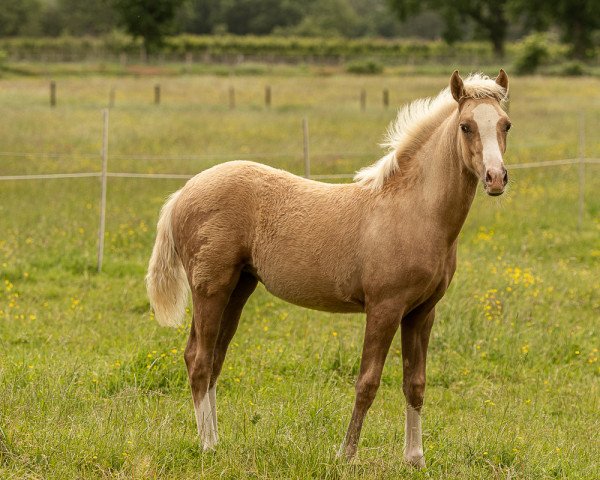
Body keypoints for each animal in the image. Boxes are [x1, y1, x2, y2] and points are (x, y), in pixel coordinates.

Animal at [145, 69, 510, 466]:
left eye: (505, 124)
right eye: (465, 126)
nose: (495, 178)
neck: (413, 210)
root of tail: (183, 193)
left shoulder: (422, 312)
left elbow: (415, 383)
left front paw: (415, 459)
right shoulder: (384, 308)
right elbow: (367, 382)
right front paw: (346, 454)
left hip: (238, 289)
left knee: (214, 359)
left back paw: (216, 440)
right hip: (210, 289)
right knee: (198, 359)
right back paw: (208, 446)